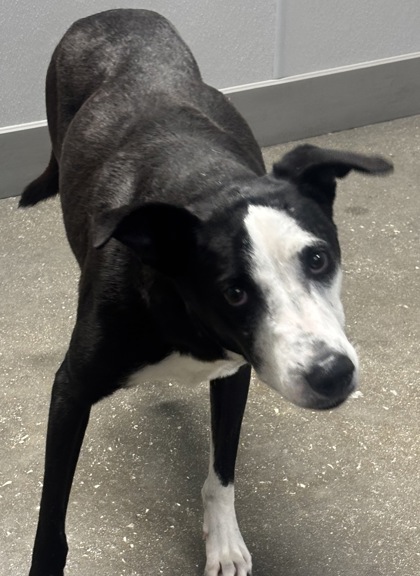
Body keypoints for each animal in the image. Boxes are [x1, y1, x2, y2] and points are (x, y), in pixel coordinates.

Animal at [20, 9, 392, 576]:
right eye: (233, 292)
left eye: (318, 258)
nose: (332, 374)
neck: (204, 180)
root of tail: (115, 13)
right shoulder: (70, 391)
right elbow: (50, 516)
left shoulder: (235, 372)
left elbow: (222, 468)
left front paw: (224, 541)